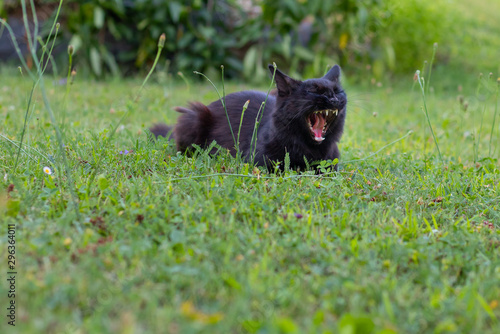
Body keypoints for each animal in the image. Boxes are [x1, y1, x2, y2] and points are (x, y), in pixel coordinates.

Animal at [150, 64, 348, 171]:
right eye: (314, 91)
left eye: (338, 91)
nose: (333, 99)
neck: (309, 149)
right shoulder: (259, 163)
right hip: (195, 116)